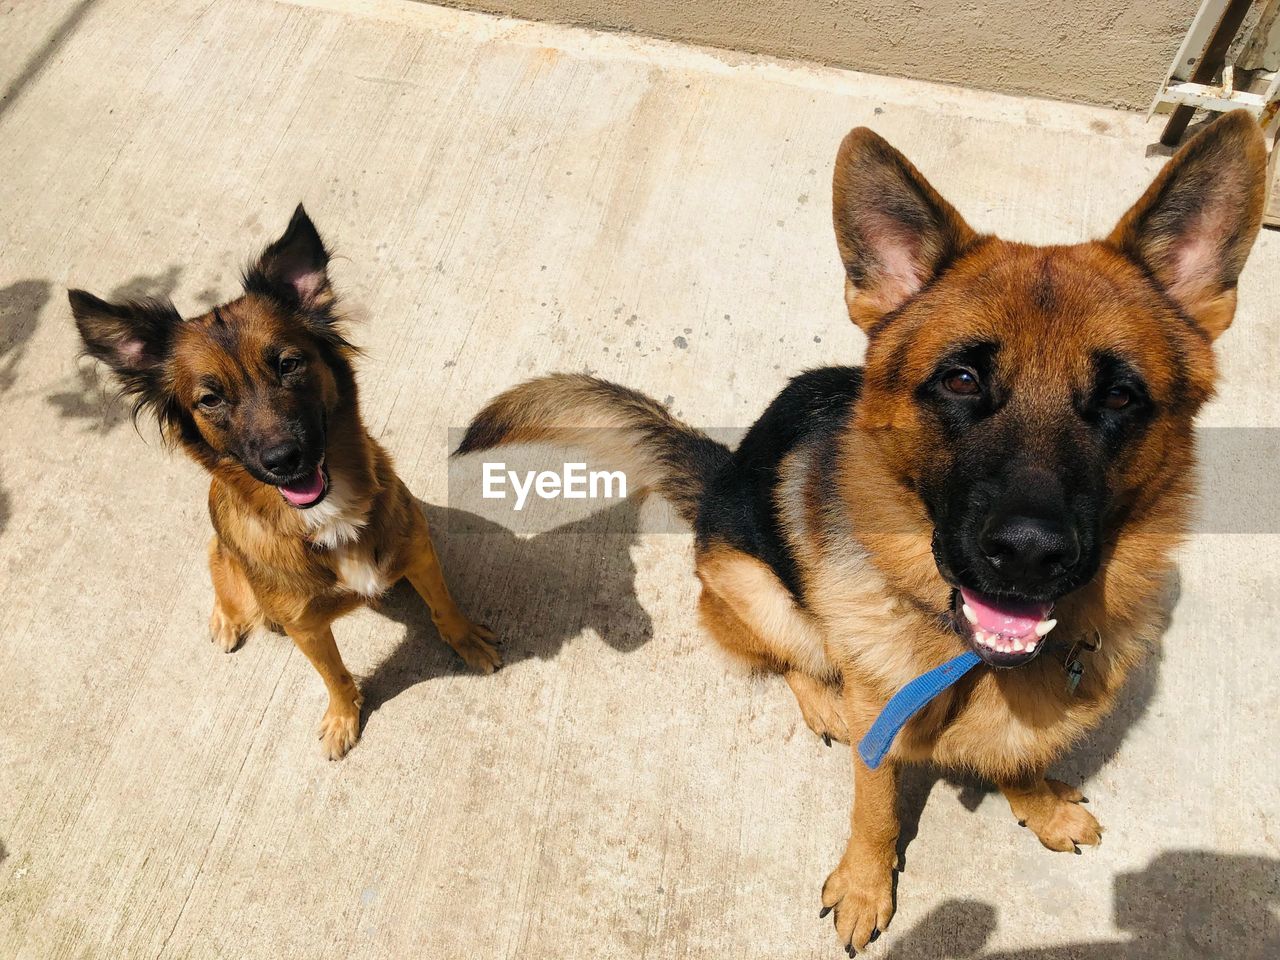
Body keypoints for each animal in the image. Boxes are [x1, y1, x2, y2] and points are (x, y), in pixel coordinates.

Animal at [67, 208, 499, 757]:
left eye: (288, 364)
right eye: (210, 399)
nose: (284, 460)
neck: (326, 518)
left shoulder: (419, 552)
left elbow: (444, 606)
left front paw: (466, 639)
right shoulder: (305, 626)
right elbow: (334, 674)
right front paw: (343, 715)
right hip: (231, 566)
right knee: (224, 578)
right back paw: (227, 619)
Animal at [460, 114, 1269, 957]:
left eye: (1119, 396)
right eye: (960, 381)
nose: (1027, 555)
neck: (968, 659)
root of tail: (720, 475)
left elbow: (1021, 754)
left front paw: (1039, 804)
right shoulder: (879, 732)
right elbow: (875, 812)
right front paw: (863, 887)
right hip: (754, 589)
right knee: (789, 653)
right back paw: (823, 699)